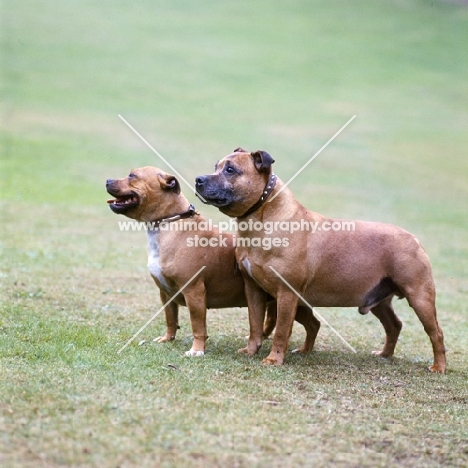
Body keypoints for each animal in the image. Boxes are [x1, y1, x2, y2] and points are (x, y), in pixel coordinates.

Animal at [105, 167, 318, 354]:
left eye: (132, 175)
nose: (107, 180)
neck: (170, 223)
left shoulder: (194, 292)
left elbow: (198, 326)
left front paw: (197, 350)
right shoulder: (165, 294)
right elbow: (171, 319)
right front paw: (167, 339)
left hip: (292, 301)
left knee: (312, 324)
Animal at [195, 148, 446, 372]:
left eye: (230, 170)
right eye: (216, 166)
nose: (198, 179)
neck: (262, 219)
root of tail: (413, 238)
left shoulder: (286, 294)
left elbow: (281, 331)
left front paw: (274, 359)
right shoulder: (253, 289)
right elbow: (255, 324)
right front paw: (250, 350)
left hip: (420, 297)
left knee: (436, 333)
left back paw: (438, 367)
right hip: (380, 301)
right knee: (394, 325)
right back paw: (384, 354)